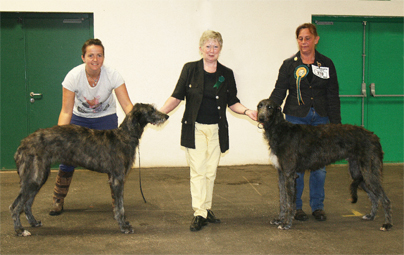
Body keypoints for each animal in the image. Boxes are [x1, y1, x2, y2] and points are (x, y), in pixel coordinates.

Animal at [10, 102, 169, 236]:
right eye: (151, 110)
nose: (166, 116)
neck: (125, 135)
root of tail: (22, 145)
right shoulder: (118, 178)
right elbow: (120, 206)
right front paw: (124, 226)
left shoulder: (115, 178)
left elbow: (119, 205)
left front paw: (124, 223)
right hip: (34, 177)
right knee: (15, 206)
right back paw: (20, 230)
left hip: (39, 176)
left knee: (27, 204)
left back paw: (33, 222)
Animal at [258, 98, 392, 232]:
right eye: (259, 106)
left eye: (270, 107)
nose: (260, 117)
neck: (280, 130)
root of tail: (375, 137)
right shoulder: (282, 174)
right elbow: (282, 200)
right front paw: (279, 219)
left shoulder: (289, 174)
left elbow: (290, 202)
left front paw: (286, 223)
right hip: (358, 174)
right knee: (374, 196)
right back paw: (371, 216)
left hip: (369, 172)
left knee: (385, 199)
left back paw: (387, 224)